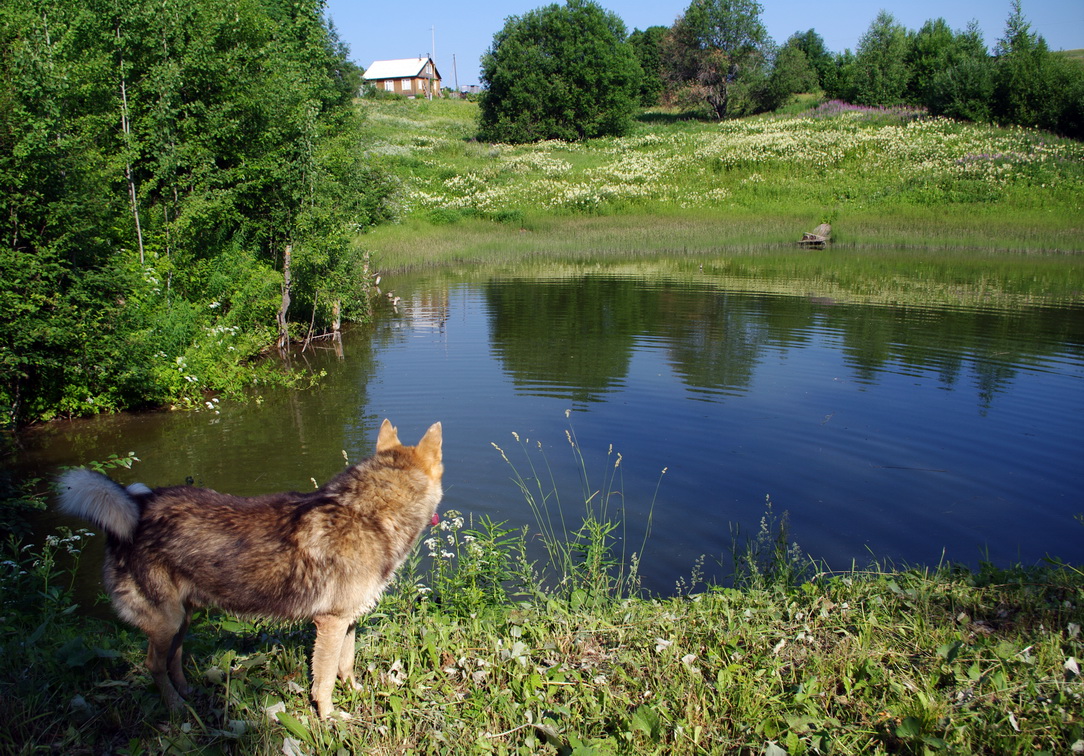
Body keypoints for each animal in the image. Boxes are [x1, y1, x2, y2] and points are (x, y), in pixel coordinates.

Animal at [53, 418, 444, 720]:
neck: (369, 513)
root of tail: (135, 506)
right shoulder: (330, 624)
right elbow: (324, 679)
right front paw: (329, 717)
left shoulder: (347, 621)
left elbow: (345, 666)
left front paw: (356, 692)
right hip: (166, 620)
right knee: (153, 664)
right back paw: (176, 707)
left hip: (182, 617)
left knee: (174, 658)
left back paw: (188, 693)